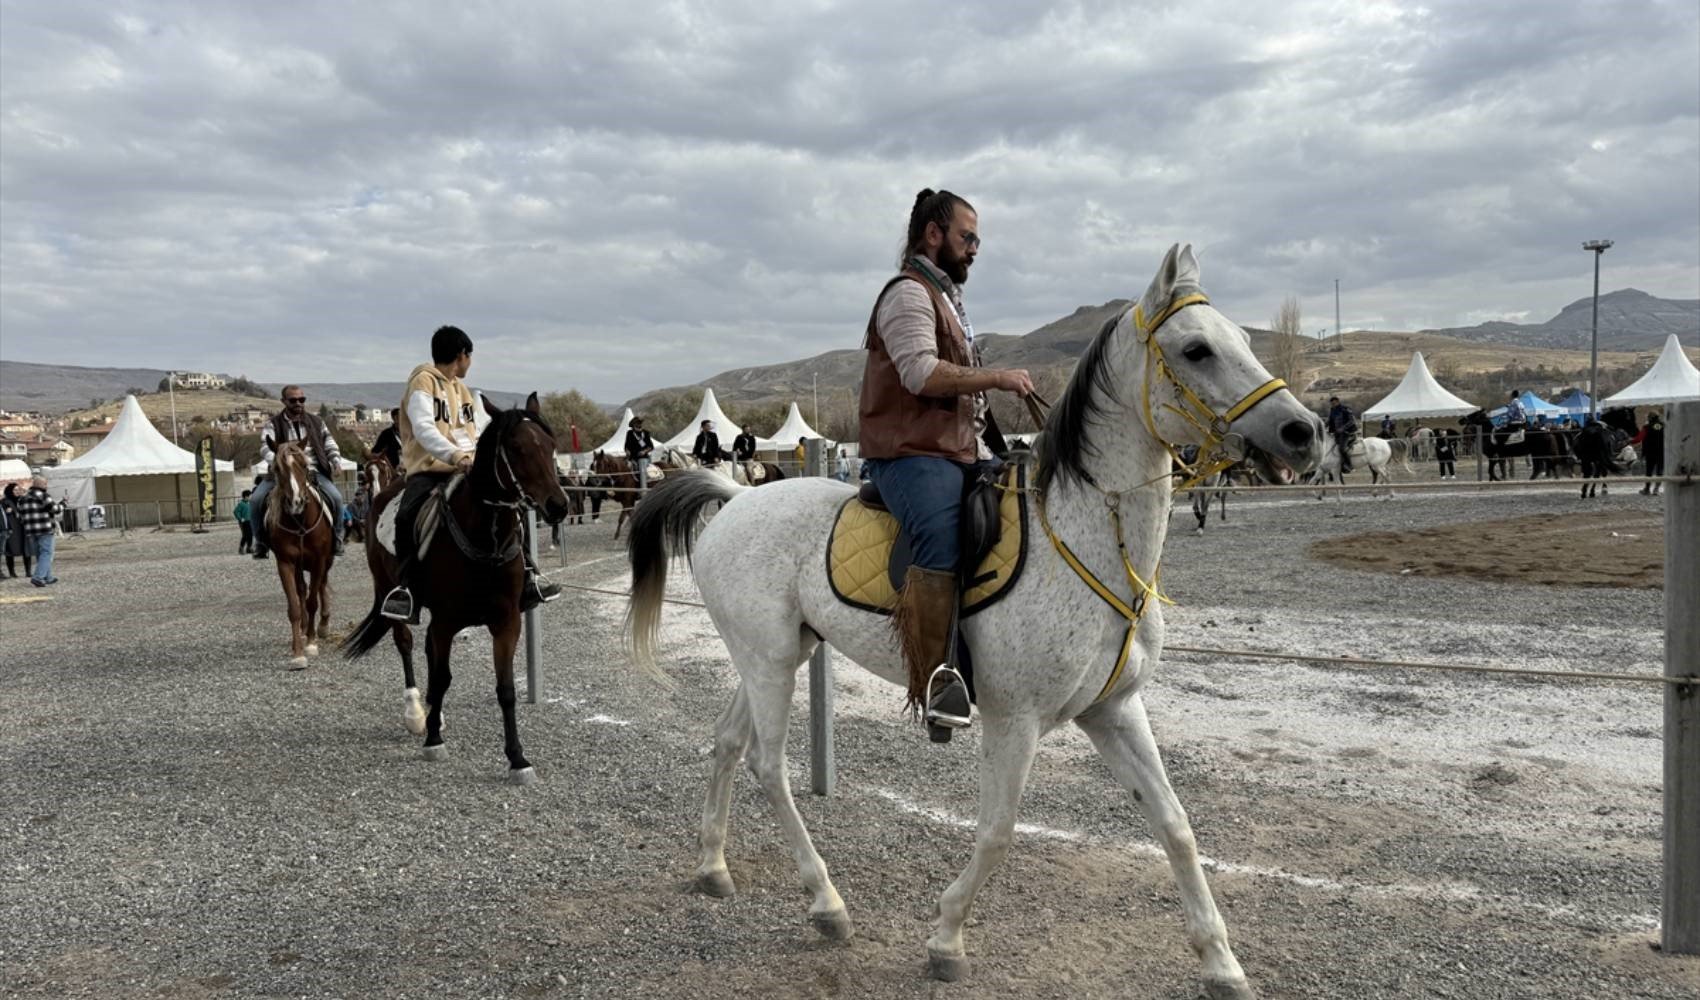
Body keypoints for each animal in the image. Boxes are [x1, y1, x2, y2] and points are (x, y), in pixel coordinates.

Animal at [268, 442, 334, 666]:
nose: (295, 502)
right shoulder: (285, 562)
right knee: (302, 590)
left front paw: (312, 644)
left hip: (326, 561)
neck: (300, 524)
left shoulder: (319, 560)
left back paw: (322, 625)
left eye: (305, 465)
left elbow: (313, 601)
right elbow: (295, 606)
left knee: (321, 585)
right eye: (277, 468)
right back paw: (305, 629)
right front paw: (298, 653)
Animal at [341, 392, 574, 782]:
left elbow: (505, 689)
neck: (485, 536)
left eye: (551, 445)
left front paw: (517, 758)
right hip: (391, 591)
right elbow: (443, 676)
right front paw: (433, 738)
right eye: (516, 448)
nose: (558, 505)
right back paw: (417, 713)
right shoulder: (447, 621)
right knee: (406, 644)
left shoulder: (506, 621)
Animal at [625, 244, 1326, 1000]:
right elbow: (997, 831)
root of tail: (734, 500)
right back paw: (827, 903)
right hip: (772, 663)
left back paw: (712, 867)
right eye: (1197, 350)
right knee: (767, 763)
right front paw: (946, 937)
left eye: (1245, 340)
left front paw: (1221, 962)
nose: (1305, 433)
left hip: (774, 656)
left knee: (728, 742)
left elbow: (1176, 825)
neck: (1089, 538)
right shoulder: (1014, 720)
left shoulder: (1114, 711)